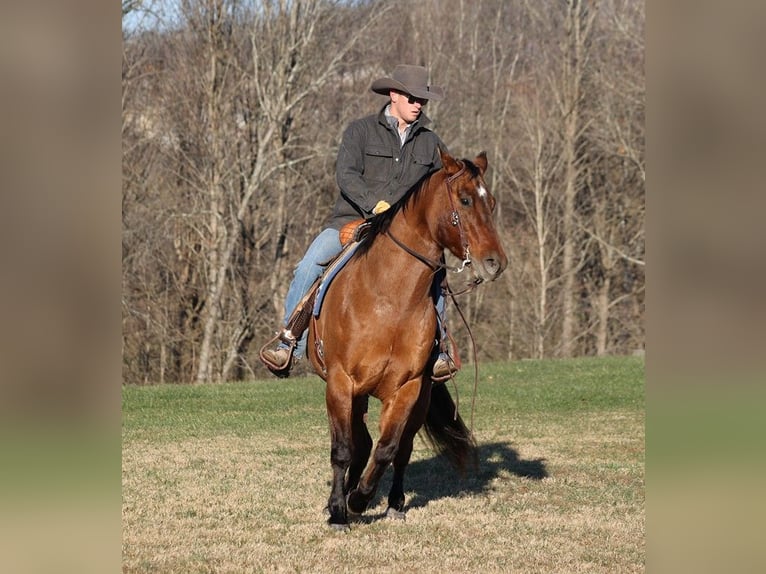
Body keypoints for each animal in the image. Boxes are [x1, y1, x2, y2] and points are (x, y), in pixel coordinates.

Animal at [306, 148, 510, 532]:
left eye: (490, 202)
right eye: (465, 199)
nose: (495, 263)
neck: (390, 299)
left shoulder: (409, 387)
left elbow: (388, 448)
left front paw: (359, 499)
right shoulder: (341, 382)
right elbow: (342, 449)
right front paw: (339, 510)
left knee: (397, 450)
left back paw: (392, 503)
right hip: (354, 394)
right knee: (358, 444)